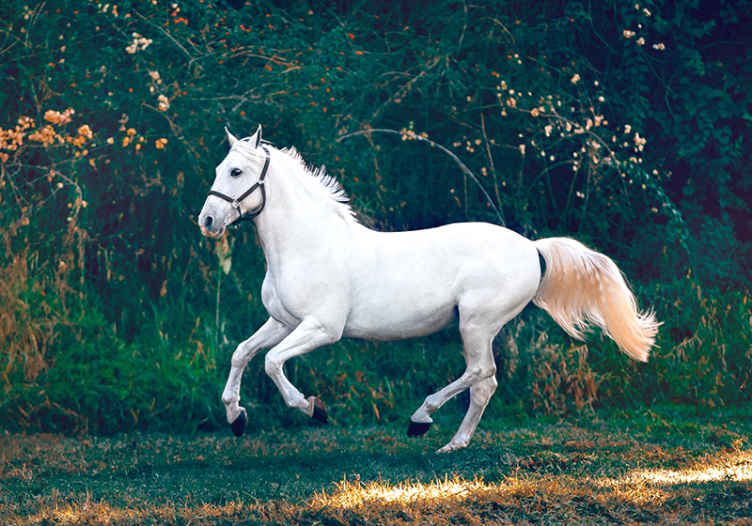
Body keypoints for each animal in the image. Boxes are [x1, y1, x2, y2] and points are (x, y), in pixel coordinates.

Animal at [197, 125, 659, 453]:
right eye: (219, 169)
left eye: (236, 171)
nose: (207, 221)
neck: (307, 244)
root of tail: (533, 248)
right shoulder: (282, 321)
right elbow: (242, 353)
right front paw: (236, 417)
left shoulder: (322, 328)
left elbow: (272, 362)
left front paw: (314, 409)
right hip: (477, 327)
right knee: (485, 383)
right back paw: (453, 444)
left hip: (475, 323)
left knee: (480, 374)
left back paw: (422, 420)